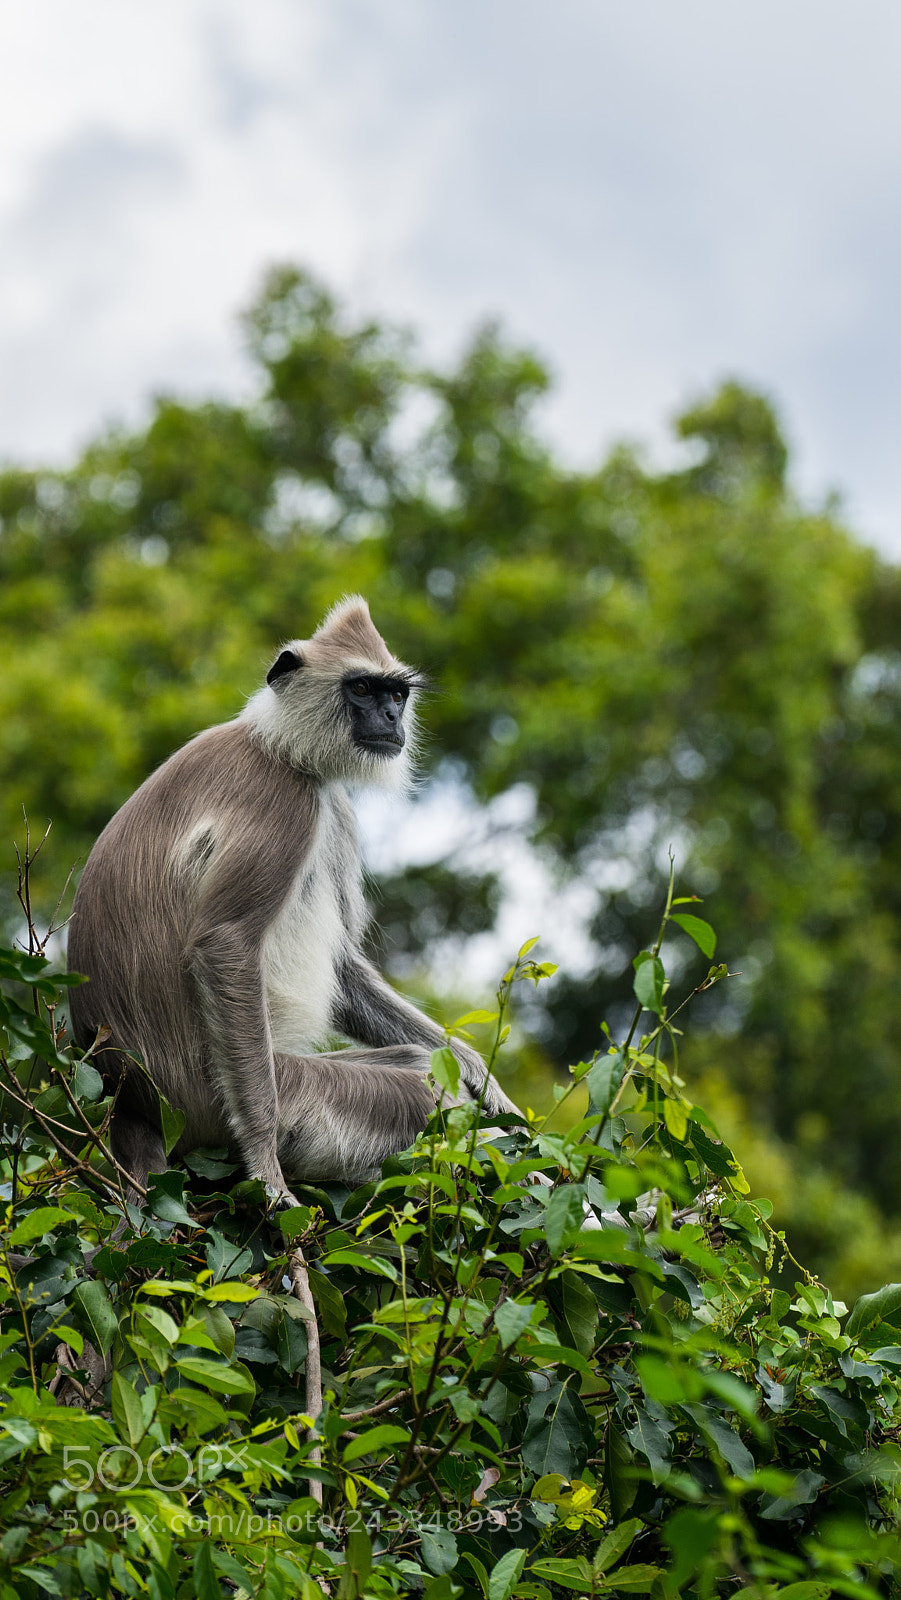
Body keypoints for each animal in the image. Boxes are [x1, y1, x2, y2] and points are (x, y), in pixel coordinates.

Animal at [67, 596, 521, 1208]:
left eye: (396, 694)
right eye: (362, 689)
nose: (390, 720)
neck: (277, 745)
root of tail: (131, 1101)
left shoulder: (331, 803)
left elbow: (344, 968)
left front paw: (480, 1074)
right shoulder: (287, 799)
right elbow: (225, 945)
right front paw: (266, 1167)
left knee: (416, 1060)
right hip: (230, 1105)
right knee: (415, 1084)